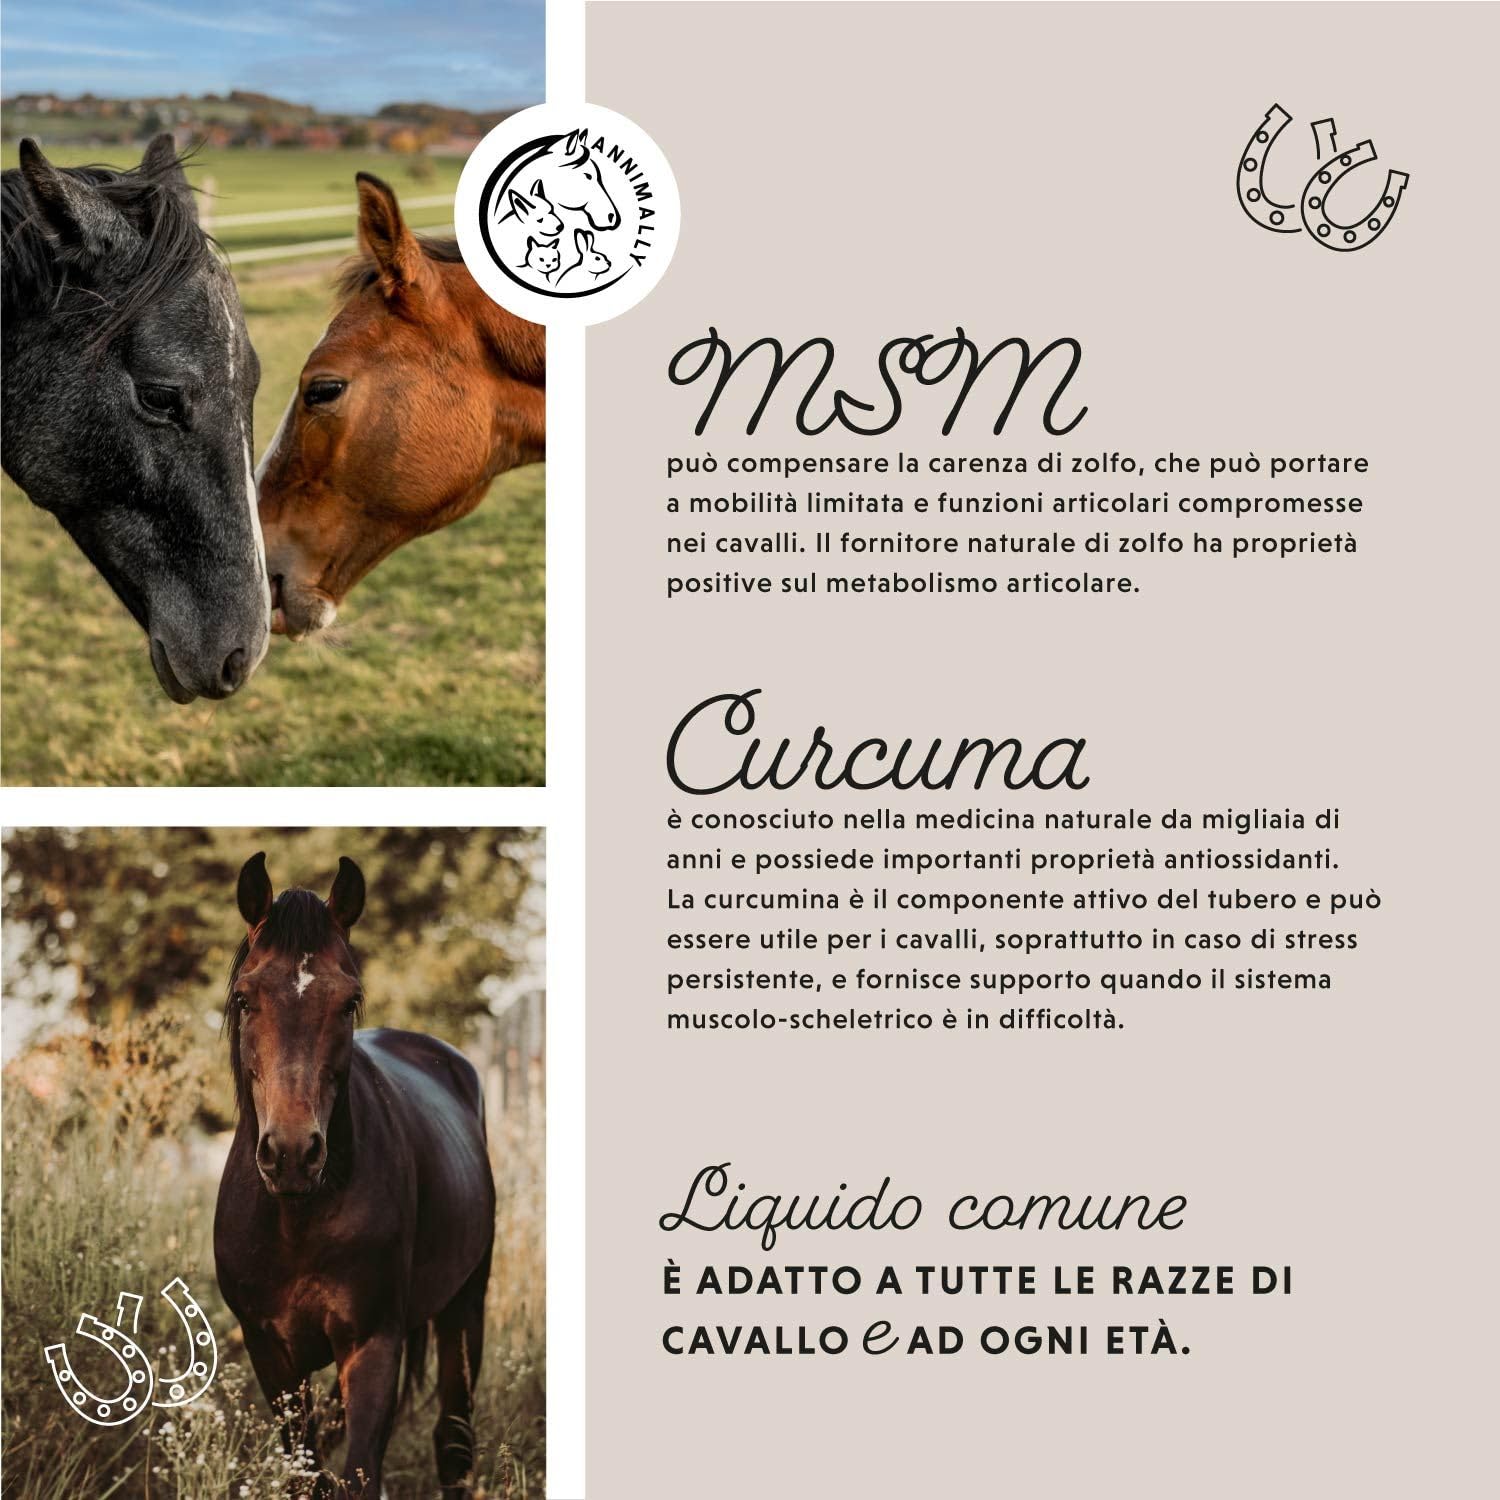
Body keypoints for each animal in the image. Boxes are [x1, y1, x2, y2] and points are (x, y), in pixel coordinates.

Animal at [214, 852, 495, 1498]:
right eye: (243, 999)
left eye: (348, 1001)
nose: (293, 1153)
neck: (297, 1219)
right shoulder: (270, 1351)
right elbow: (307, 1473)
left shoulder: (372, 1346)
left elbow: (361, 1473)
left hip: (465, 1306)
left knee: (454, 1441)